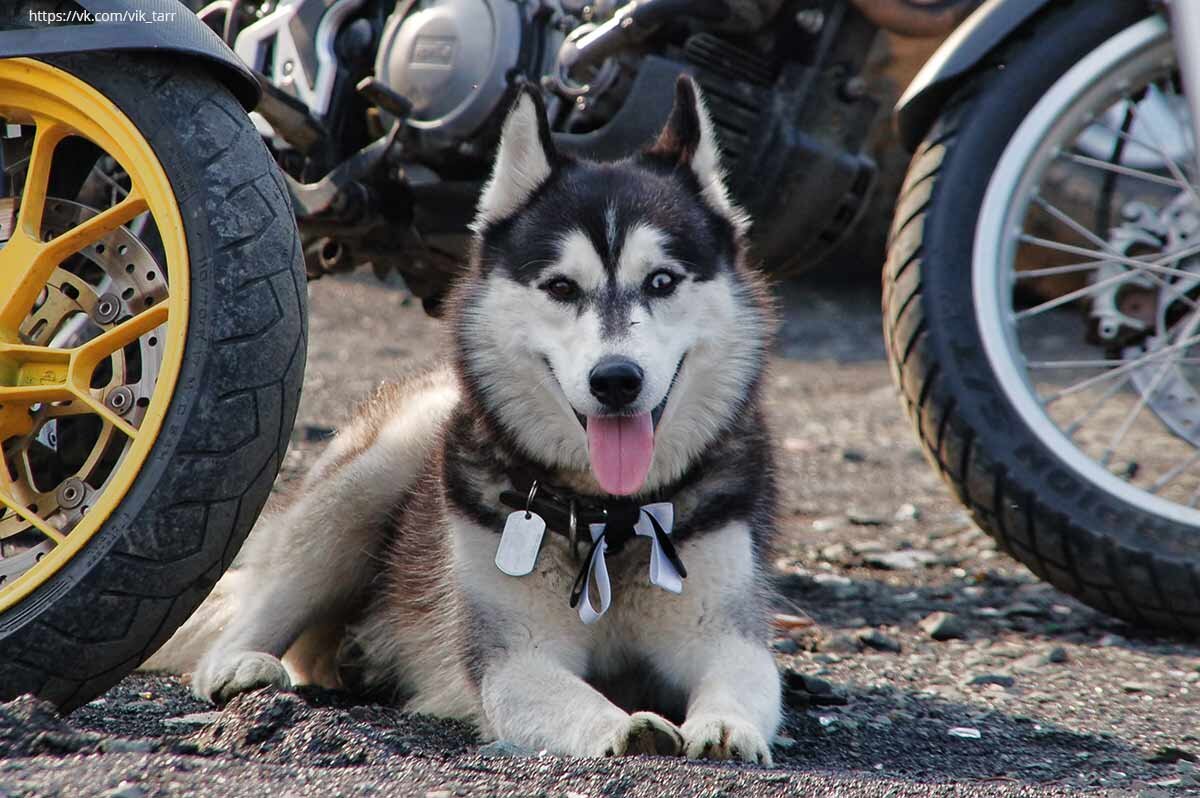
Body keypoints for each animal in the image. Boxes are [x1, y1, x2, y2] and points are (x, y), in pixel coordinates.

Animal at [157, 76, 777, 768]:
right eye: (561, 287)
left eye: (663, 281)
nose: (616, 380)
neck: (607, 520)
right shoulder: (514, 653)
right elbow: (568, 697)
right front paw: (627, 727)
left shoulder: (723, 630)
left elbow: (742, 676)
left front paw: (724, 724)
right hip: (381, 467)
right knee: (267, 603)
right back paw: (241, 664)